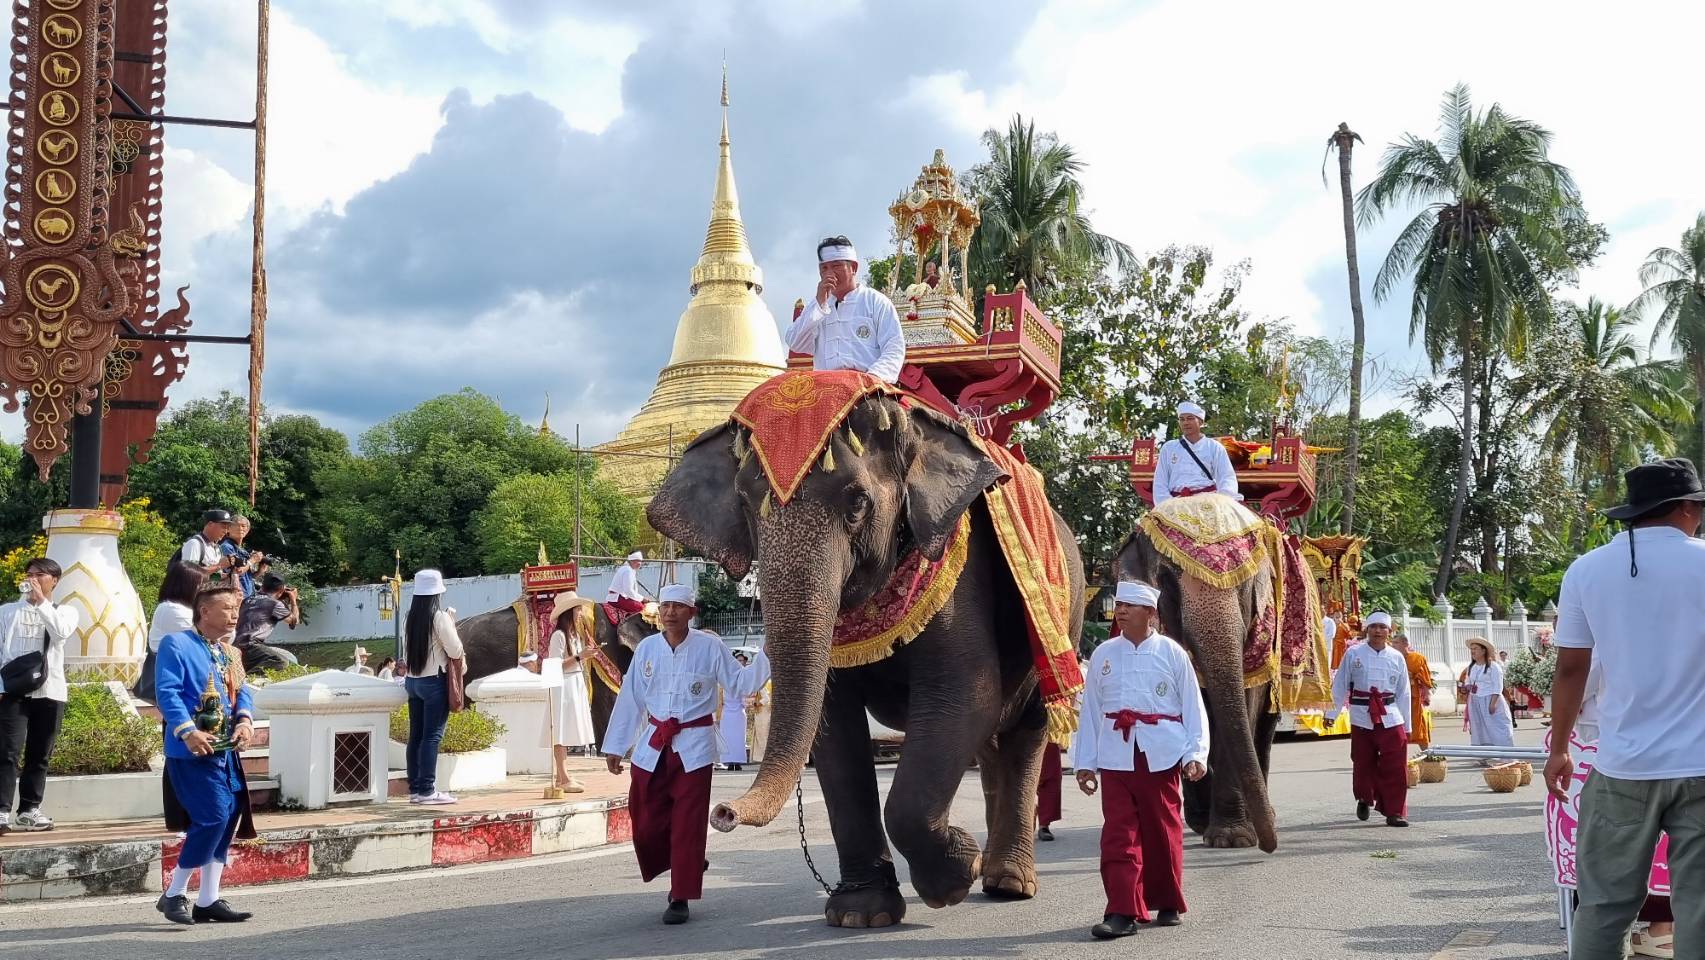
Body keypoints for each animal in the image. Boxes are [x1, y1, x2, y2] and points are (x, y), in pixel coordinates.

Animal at [644, 395, 1084, 934]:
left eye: (856, 502)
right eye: (745, 504)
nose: (723, 811)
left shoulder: (962, 577)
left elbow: (965, 698)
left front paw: (955, 875)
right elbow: (834, 728)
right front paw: (860, 914)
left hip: (1063, 619)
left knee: (1026, 731)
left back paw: (1007, 883)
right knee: (993, 744)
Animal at [1111, 514, 1275, 852]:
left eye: (1245, 585)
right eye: (1166, 579)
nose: (1270, 846)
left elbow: (1244, 701)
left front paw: (1232, 839)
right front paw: (1211, 826)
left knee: (1264, 726)